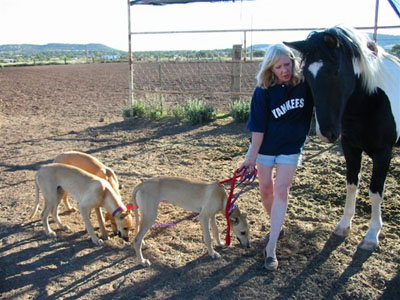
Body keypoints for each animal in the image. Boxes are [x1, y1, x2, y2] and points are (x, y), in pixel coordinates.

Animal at [284, 26, 400, 251]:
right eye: (307, 75)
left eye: (336, 71)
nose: (326, 132)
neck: (369, 101)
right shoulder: (350, 147)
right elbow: (352, 184)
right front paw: (344, 225)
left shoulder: (383, 153)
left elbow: (375, 191)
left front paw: (372, 235)